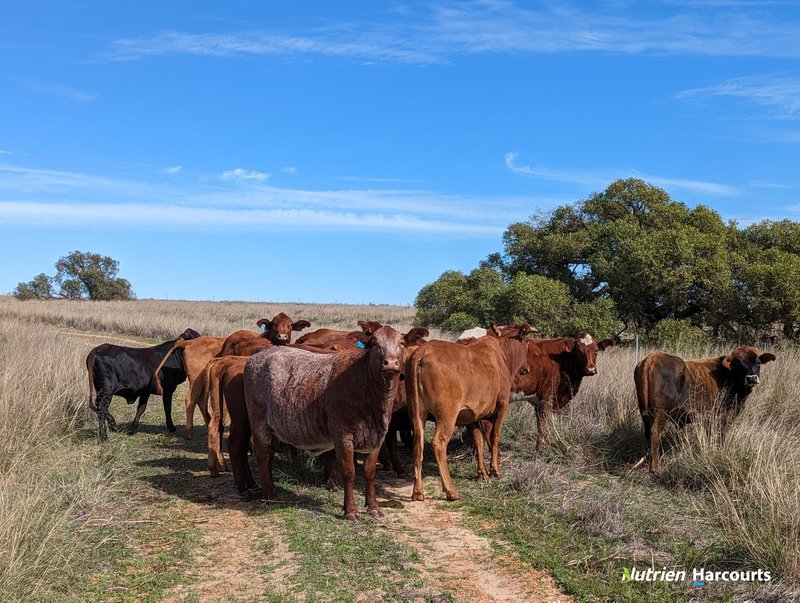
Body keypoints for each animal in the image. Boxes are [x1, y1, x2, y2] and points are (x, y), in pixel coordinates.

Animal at [244, 326, 406, 520]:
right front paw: (350, 510)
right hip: (258, 421)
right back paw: (269, 493)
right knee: (262, 453)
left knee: (269, 453)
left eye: (402, 343)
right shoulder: (343, 435)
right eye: (374, 343)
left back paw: (272, 488)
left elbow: (370, 472)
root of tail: (260, 354)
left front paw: (373, 506)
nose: (391, 363)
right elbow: (349, 472)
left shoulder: (377, 438)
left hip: (273, 427)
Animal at [406, 324, 532, 502]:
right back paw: (450, 490)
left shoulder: (472, 415)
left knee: (418, 445)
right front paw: (495, 470)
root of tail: (422, 351)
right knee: (439, 443)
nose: (527, 368)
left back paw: (417, 492)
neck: (501, 354)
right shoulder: (502, 406)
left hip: (417, 414)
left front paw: (482, 473)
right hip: (447, 415)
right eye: (526, 343)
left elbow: (478, 441)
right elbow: (494, 437)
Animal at [632, 346, 776, 474]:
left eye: (758, 362)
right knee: (655, 433)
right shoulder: (722, 417)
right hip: (660, 414)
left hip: (645, 413)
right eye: (738, 364)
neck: (728, 375)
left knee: (647, 434)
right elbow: (720, 436)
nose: (751, 378)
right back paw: (655, 468)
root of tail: (652, 357)